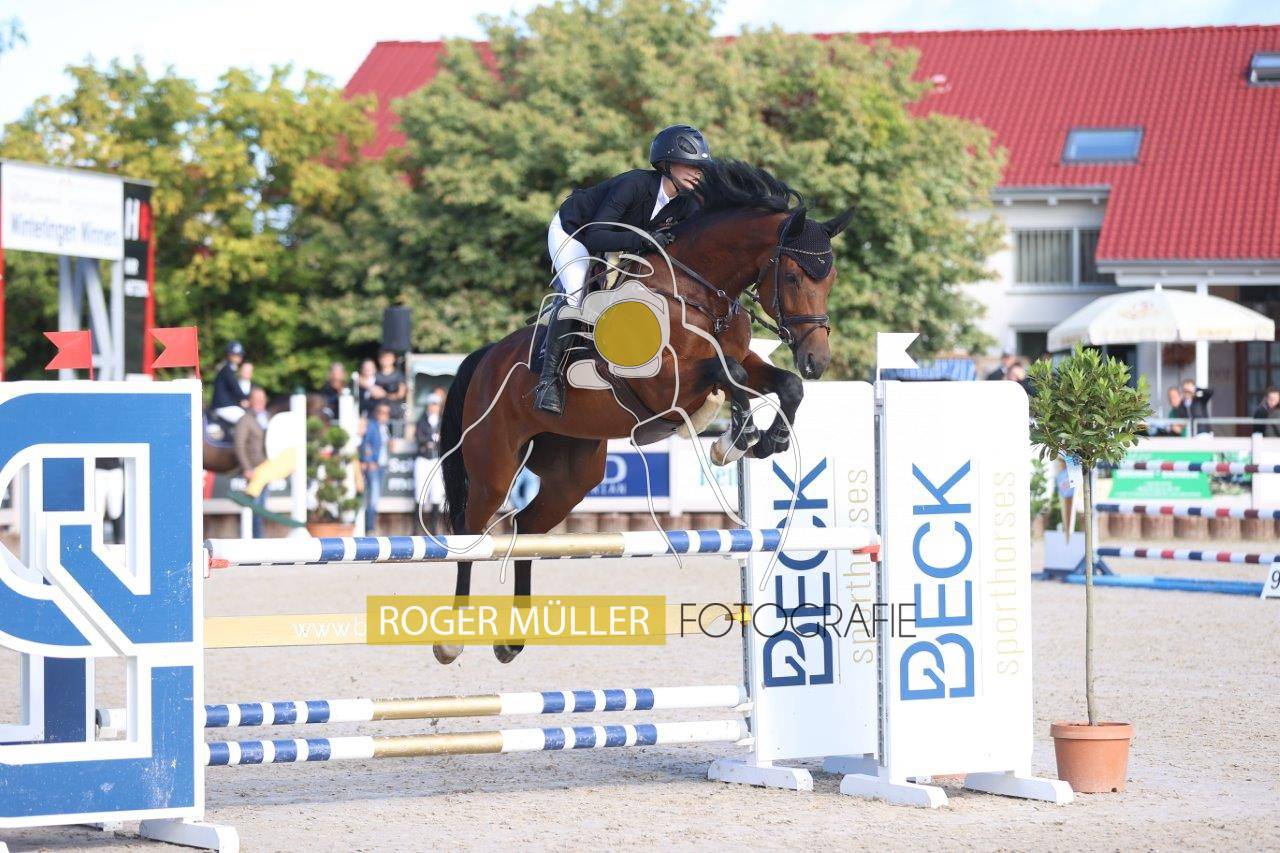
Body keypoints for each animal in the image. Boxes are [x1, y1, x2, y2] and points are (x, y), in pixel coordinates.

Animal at [435, 160, 855, 664]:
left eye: (830, 279)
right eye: (793, 278)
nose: (817, 360)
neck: (697, 294)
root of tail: (485, 359)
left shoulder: (740, 364)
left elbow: (780, 384)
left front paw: (761, 440)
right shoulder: (663, 383)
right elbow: (727, 373)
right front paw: (733, 438)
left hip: (573, 472)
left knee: (528, 526)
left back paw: (511, 640)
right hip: (493, 466)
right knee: (469, 532)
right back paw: (452, 639)